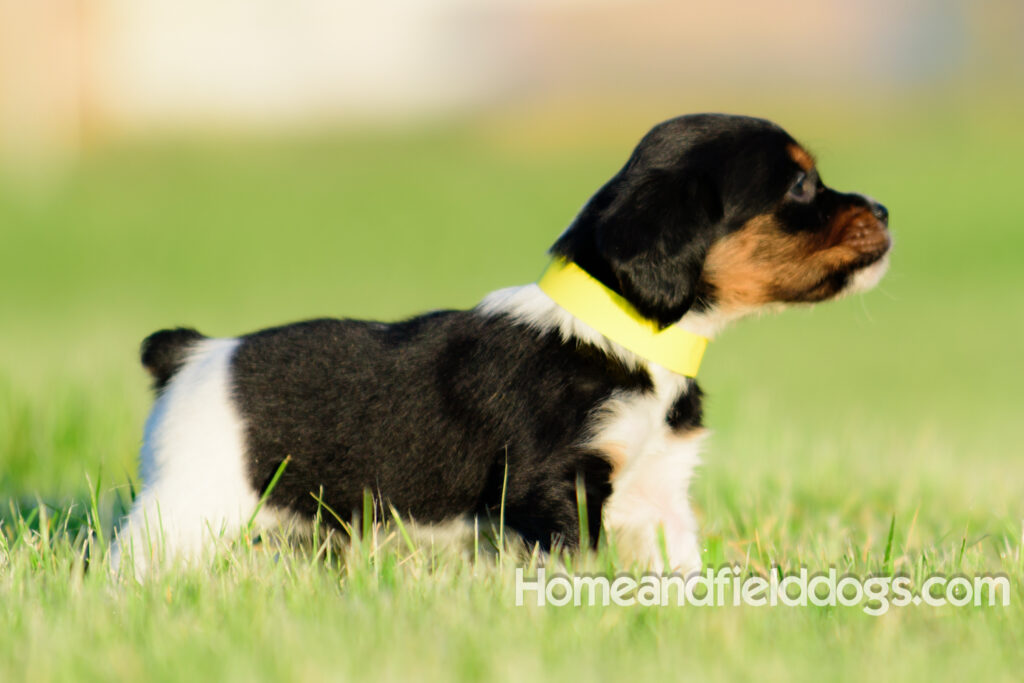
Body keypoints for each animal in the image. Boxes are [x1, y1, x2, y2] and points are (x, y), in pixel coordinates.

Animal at [112, 114, 888, 573]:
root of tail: (191, 352)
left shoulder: (659, 489)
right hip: (184, 510)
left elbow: (680, 569)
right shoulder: (556, 489)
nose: (883, 208)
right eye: (800, 185)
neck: (622, 338)